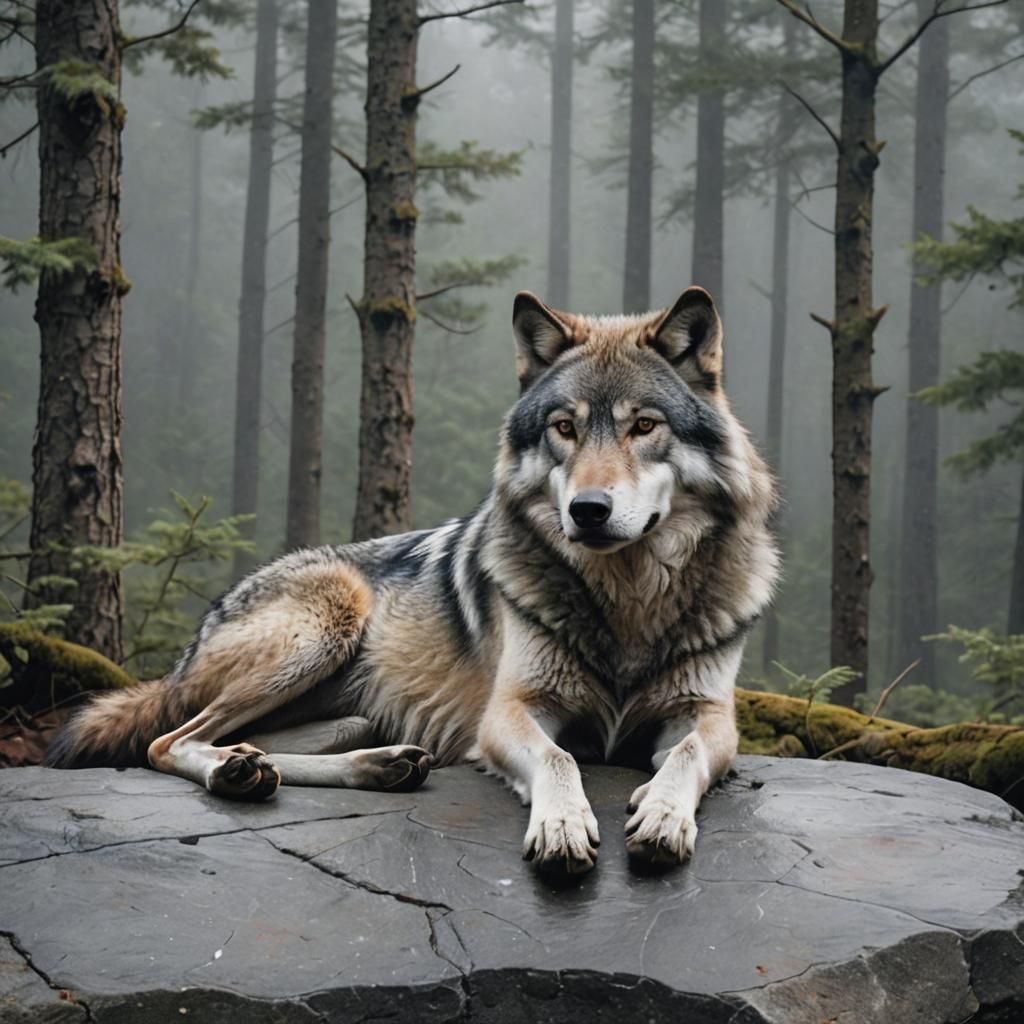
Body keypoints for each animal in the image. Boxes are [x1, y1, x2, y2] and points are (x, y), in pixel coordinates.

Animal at [47, 286, 779, 874]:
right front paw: (564, 824)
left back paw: (366, 767)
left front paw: (662, 813)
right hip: (328, 621)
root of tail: (195, 636)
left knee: (248, 744)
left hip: (349, 716)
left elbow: (685, 754)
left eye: (644, 425)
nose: (588, 510)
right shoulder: (509, 712)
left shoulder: (709, 716)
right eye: (565, 428)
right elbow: (561, 759)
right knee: (169, 741)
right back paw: (240, 773)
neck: (626, 601)